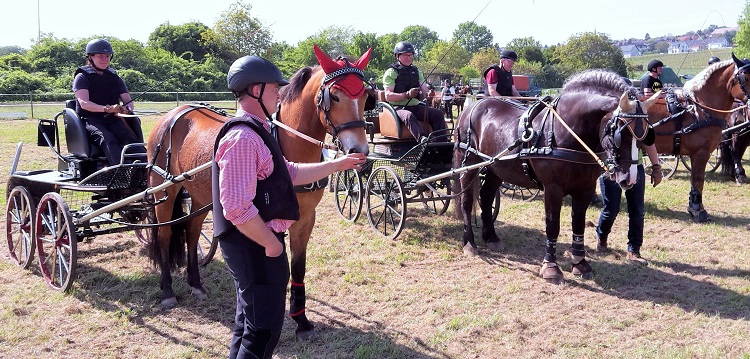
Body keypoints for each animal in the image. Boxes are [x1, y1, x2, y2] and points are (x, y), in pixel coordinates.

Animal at [145, 45, 374, 340]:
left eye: (366, 96)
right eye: (334, 96)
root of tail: (177, 112)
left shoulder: (305, 219)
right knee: (164, 235)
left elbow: (298, 267)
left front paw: (301, 320)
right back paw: (167, 290)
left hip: (200, 194)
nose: (360, 151)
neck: (287, 141)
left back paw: (195, 283)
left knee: (191, 231)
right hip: (165, 188)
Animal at [452, 69, 656, 284]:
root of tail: (472, 106)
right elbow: (552, 226)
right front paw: (551, 268)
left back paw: (491, 237)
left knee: (486, 196)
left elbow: (578, 224)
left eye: (646, 135)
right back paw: (469, 243)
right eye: (620, 133)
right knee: (467, 201)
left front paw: (580, 263)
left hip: (495, 168)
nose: (629, 179)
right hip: (469, 164)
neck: (566, 131)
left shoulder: (585, 188)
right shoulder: (553, 189)